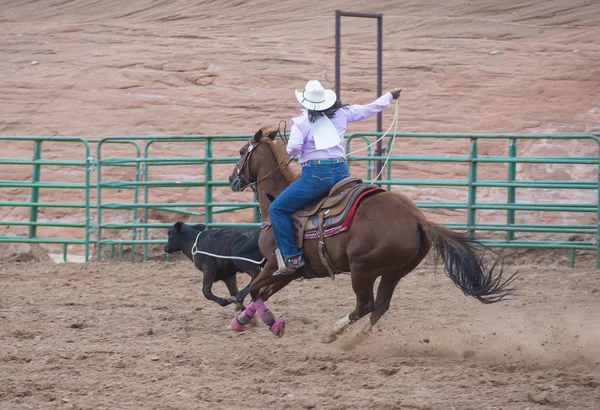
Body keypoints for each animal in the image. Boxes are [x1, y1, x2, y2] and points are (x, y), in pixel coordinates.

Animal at [226, 126, 516, 342]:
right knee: (380, 308)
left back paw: (332, 333)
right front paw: (242, 321)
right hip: (395, 271)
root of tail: (417, 218)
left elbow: (253, 290)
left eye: (241, 151)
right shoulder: (288, 272)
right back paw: (355, 341)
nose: (232, 179)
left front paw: (270, 323)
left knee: (366, 306)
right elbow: (260, 293)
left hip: (362, 269)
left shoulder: (276, 265)